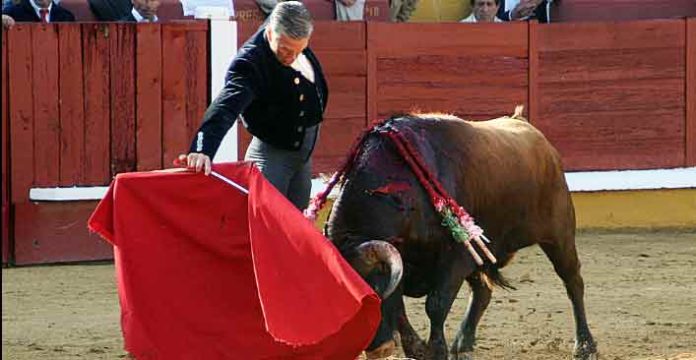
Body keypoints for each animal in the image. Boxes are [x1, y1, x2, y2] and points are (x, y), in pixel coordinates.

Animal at [324, 111, 596, 358]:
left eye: (374, 286)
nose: (377, 349)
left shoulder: (455, 256)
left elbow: (436, 304)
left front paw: (436, 350)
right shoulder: (406, 260)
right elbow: (400, 307)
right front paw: (419, 348)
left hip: (559, 235)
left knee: (573, 281)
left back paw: (585, 345)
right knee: (482, 291)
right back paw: (463, 342)